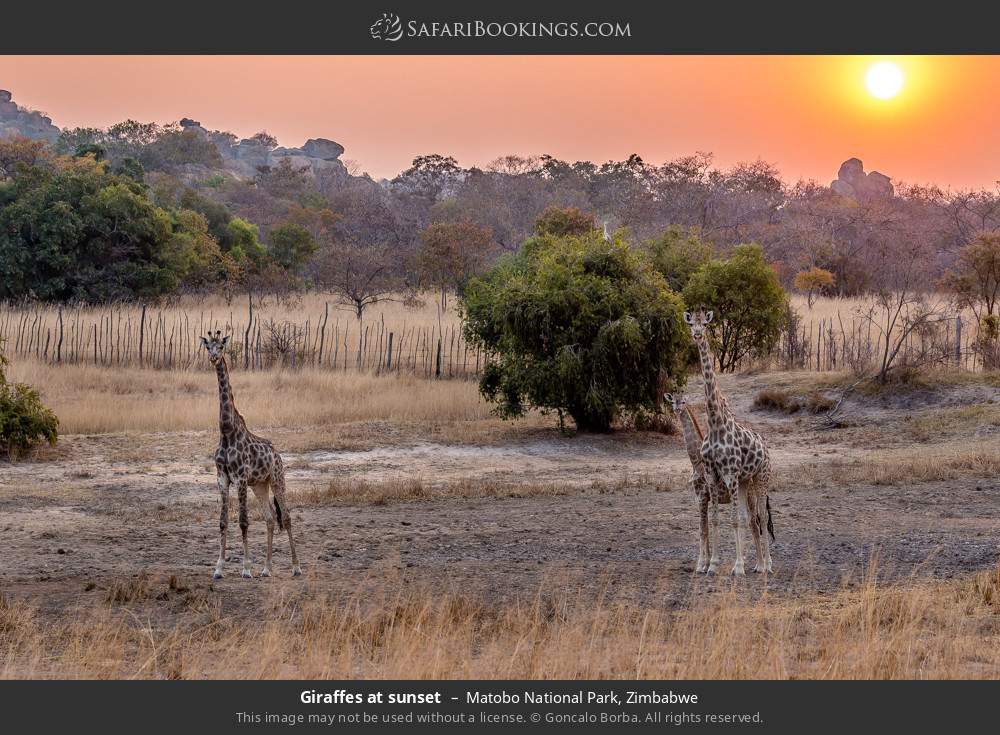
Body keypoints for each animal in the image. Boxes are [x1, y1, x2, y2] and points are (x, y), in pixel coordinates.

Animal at [200, 334, 298, 580]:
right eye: (207, 346)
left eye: (221, 346)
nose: (213, 358)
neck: (227, 431)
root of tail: (277, 455)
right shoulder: (222, 478)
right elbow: (223, 522)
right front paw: (218, 568)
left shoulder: (241, 478)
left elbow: (243, 522)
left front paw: (245, 568)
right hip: (260, 485)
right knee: (270, 517)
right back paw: (266, 568)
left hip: (277, 479)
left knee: (287, 517)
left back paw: (296, 567)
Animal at [668, 392, 724, 576]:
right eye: (672, 401)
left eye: (684, 401)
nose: (677, 409)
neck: (695, 461)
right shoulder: (701, 498)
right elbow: (704, 529)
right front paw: (705, 565)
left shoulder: (702, 496)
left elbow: (703, 530)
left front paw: (702, 565)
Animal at [684, 310, 776, 576]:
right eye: (691, 324)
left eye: (705, 324)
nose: (697, 334)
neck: (715, 423)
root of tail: (766, 447)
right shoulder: (713, 475)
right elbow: (717, 519)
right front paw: (713, 565)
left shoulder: (731, 473)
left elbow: (734, 519)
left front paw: (738, 567)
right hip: (746, 481)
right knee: (750, 518)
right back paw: (758, 563)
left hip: (761, 477)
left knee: (760, 516)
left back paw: (767, 565)